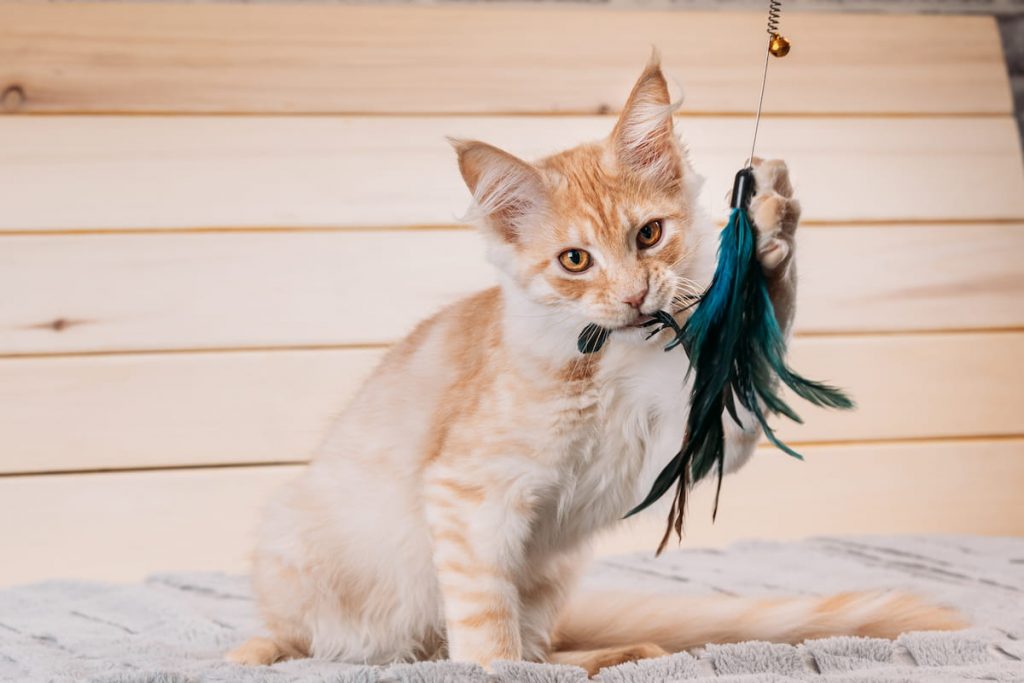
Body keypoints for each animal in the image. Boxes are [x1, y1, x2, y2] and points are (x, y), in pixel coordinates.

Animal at [228, 56, 962, 675]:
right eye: (575, 260)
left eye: (649, 235)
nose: (635, 296)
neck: (610, 364)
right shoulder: (471, 495)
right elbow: (485, 623)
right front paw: (493, 671)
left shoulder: (691, 440)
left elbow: (750, 359)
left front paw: (766, 236)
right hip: (302, 547)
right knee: (306, 637)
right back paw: (252, 652)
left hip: (551, 578)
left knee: (547, 650)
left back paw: (623, 652)